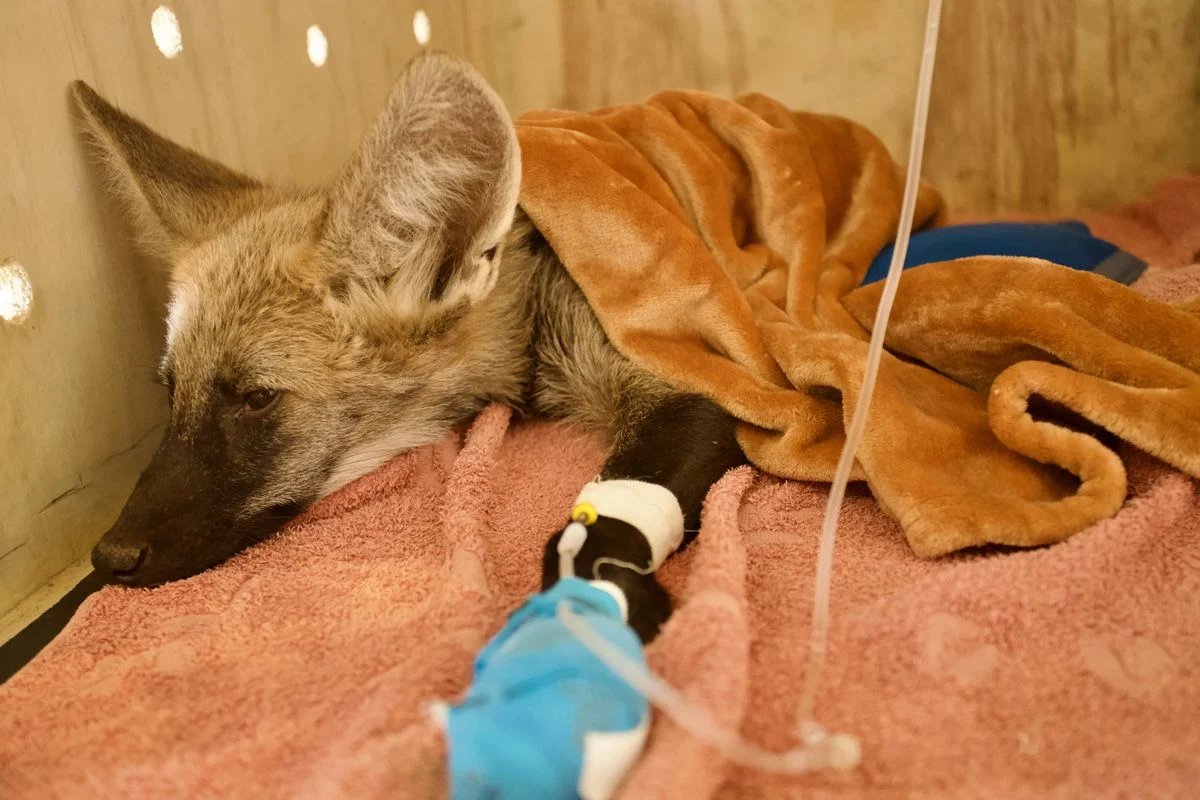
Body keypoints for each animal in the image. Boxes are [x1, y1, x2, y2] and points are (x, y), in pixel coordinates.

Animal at [76, 52, 745, 640]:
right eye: (169, 391)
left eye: (256, 398)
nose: (108, 556)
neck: (534, 317)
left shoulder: (684, 377)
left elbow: (602, 521)